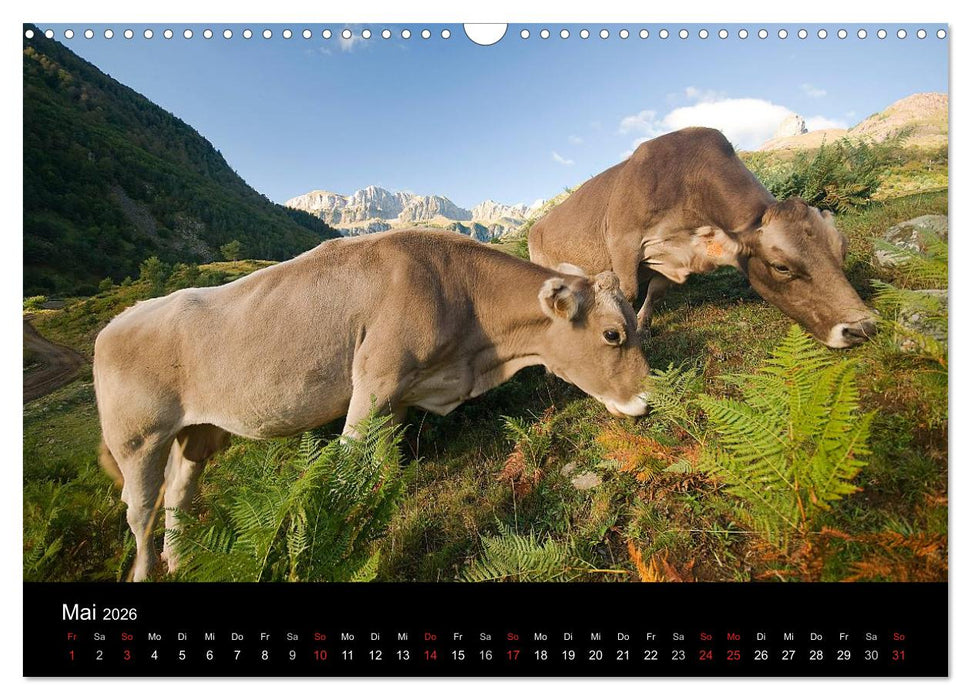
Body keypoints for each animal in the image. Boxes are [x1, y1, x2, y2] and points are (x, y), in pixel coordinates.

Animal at [94, 229, 650, 581]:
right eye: (612, 334)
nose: (646, 402)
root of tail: (117, 321)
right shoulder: (374, 382)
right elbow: (347, 466)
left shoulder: (401, 393)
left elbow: (387, 459)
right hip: (137, 439)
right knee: (139, 512)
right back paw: (147, 571)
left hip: (197, 434)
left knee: (178, 496)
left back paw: (180, 561)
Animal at [528, 127, 877, 348]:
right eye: (781, 266)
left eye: (842, 250)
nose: (861, 328)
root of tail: (537, 225)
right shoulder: (622, 243)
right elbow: (628, 291)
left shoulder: (671, 258)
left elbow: (655, 292)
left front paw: (643, 327)